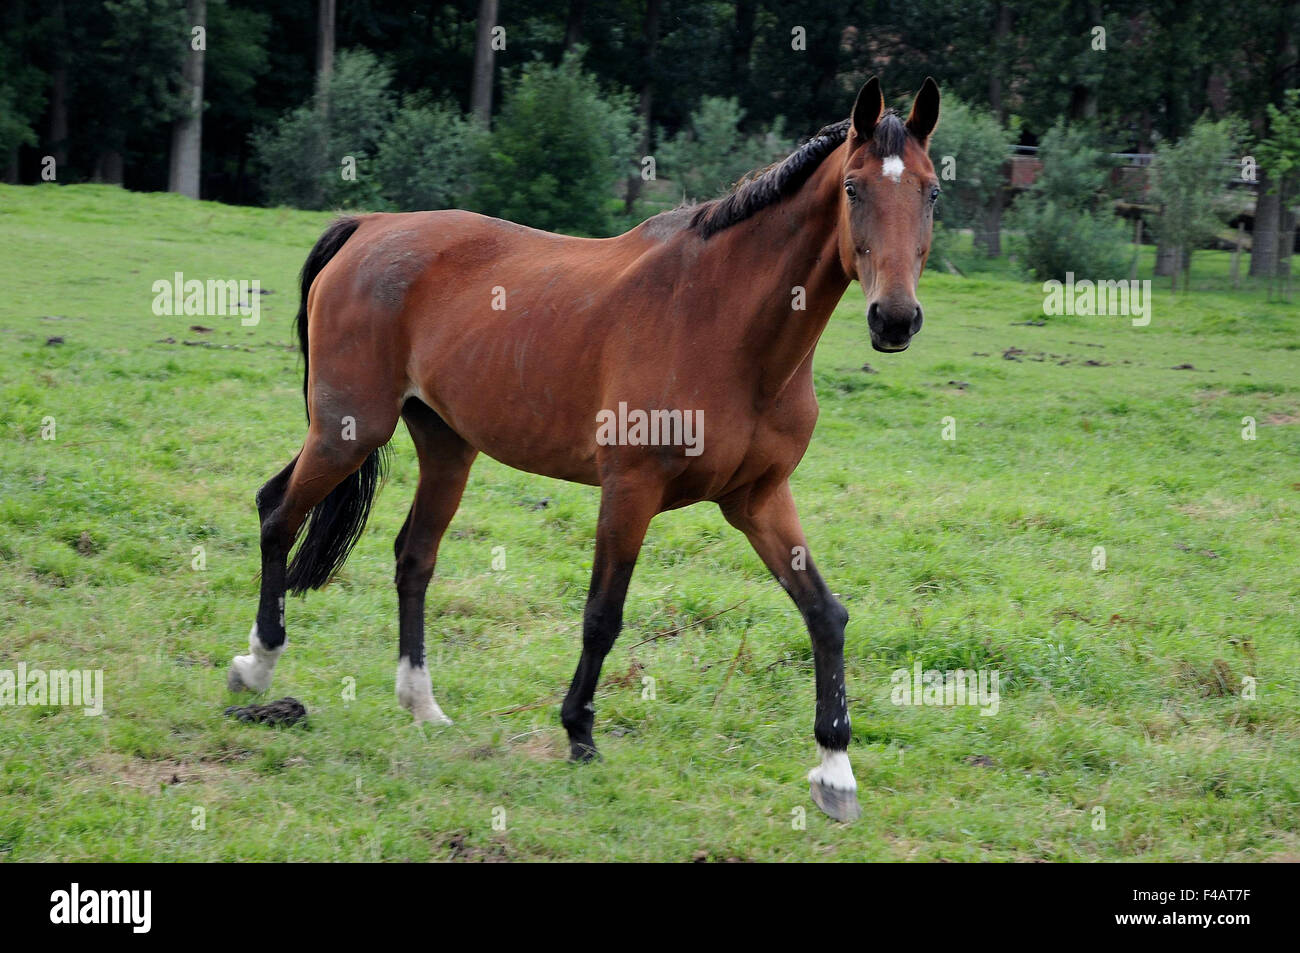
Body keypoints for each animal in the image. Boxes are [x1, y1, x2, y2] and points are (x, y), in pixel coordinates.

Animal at [227, 76, 941, 822]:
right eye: (854, 187)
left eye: (931, 191)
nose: (894, 319)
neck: (725, 322)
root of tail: (368, 225)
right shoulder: (631, 489)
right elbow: (603, 615)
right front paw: (579, 734)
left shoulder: (759, 499)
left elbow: (825, 614)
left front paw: (836, 771)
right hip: (348, 428)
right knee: (278, 514)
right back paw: (257, 665)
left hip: (445, 446)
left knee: (412, 557)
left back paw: (421, 702)